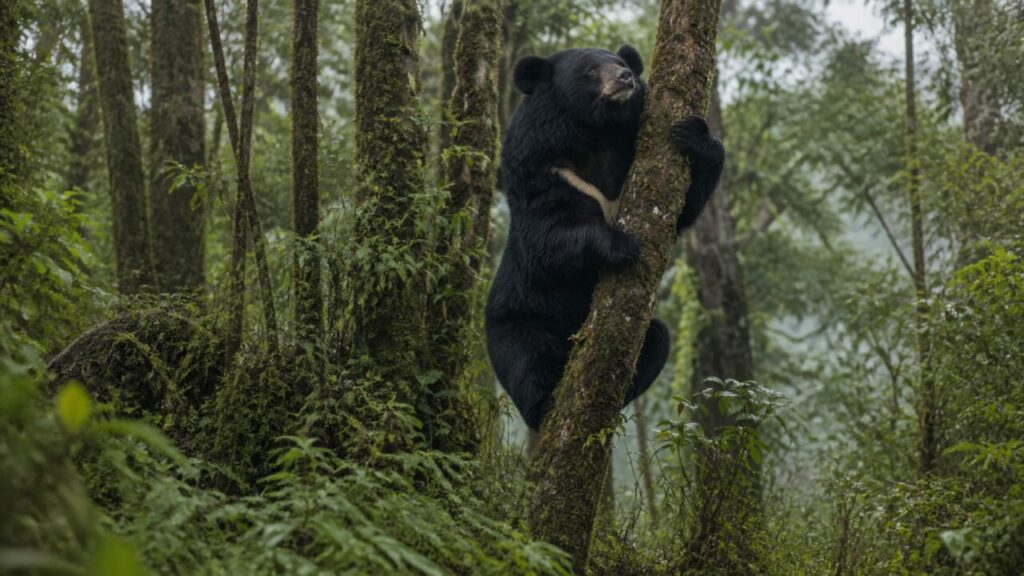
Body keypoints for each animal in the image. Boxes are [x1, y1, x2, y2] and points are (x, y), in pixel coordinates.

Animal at [485, 45, 725, 431]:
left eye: (623, 64)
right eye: (591, 71)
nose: (625, 78)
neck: (597, 132)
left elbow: (683, 208)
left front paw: (694, 135)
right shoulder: (543, 167)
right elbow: (550, 234)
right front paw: (623, 245)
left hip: (644, 336)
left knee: (657, 339)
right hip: (519, 321)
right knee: (528, 363)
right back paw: (546, 403)